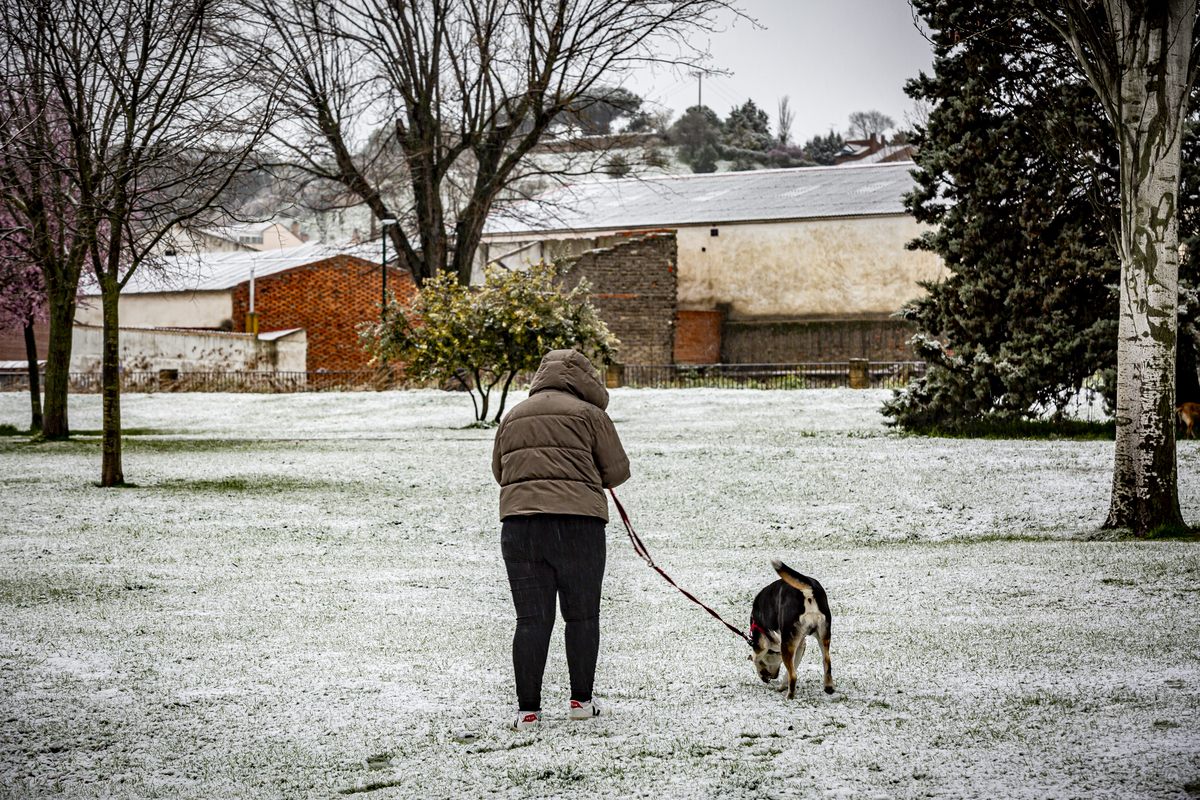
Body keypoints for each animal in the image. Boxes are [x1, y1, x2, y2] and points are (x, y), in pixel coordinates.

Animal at [748, 561, 835, 695]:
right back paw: (828, 687)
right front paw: (783, 685)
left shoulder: (762, 644)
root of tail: (807, 589)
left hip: (786, 643)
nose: (772, 677)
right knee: (826, 660)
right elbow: (792, 668)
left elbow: (755, 658)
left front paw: (762, 672)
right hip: (823, 634)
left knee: (793, 676)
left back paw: (789, 696)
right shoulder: (800, 645)